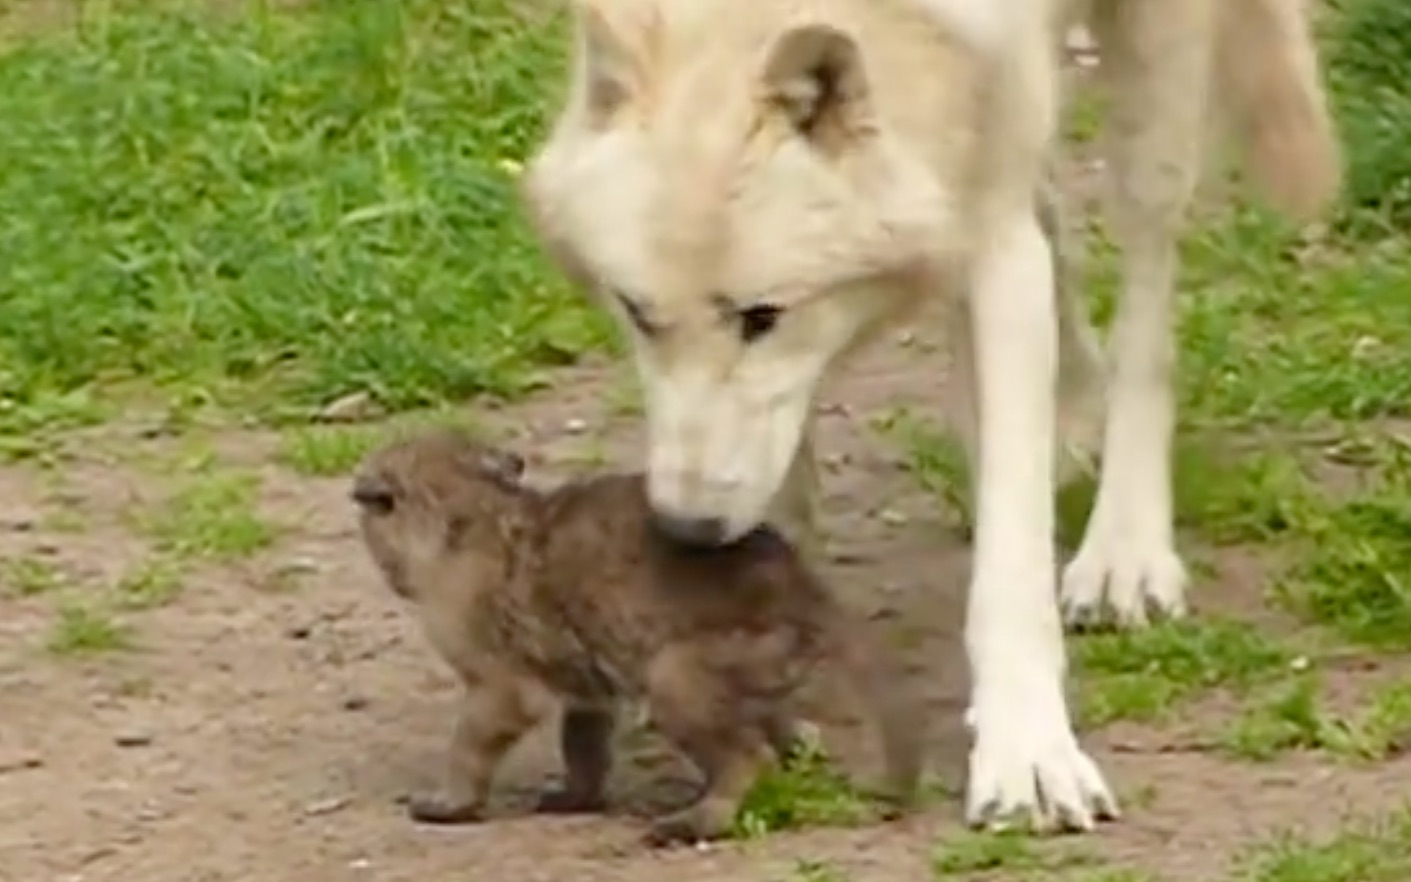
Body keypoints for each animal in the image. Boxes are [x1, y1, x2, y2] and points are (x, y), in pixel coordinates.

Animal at [524, 0, 1337, 829]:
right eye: (636, 313)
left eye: (762, 316)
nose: (687, 530)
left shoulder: (995, 241)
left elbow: (1010, 563)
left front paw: (1027, 758)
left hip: (1153, 81)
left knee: (1145, 292)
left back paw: (1124, 555)